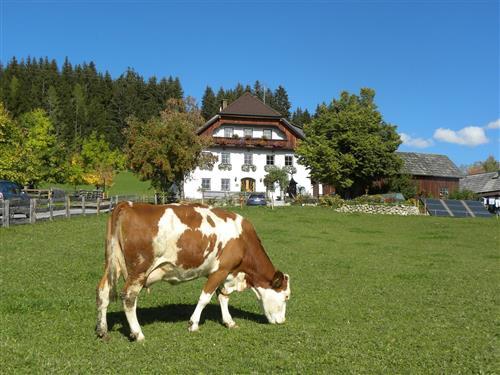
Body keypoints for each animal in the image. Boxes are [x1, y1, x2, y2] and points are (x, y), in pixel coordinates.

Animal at [94, 201, 290, 342]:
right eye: (286, 296)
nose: (282, 322)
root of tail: (128, 204)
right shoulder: (220, 270)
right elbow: (205, 298)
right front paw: (193, 324)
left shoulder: (226, 273)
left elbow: (223, 297)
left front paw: (229, 321)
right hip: (139, 271)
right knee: (128, 298)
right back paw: (138, 333)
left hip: (113, 265)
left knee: (103, 292)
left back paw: (102, 330)